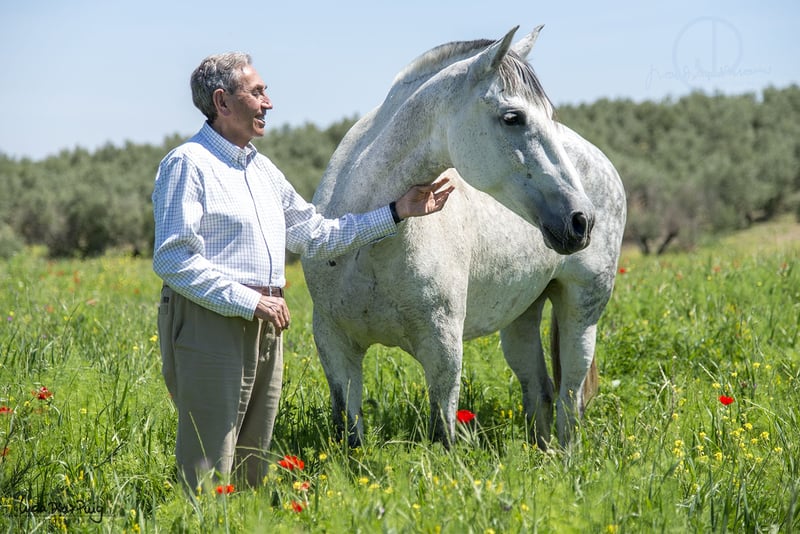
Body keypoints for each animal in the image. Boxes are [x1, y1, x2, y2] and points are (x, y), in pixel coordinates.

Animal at [301, 25, 626, 449]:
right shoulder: (336, 347)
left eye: (550, 116)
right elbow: (349, 433)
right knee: (539, 390)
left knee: (570, 399)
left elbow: (442, 431)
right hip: (522, 314)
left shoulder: (442, 348)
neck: (363, 244)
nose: (580, 221)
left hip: (582, 311)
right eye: (512, 117)